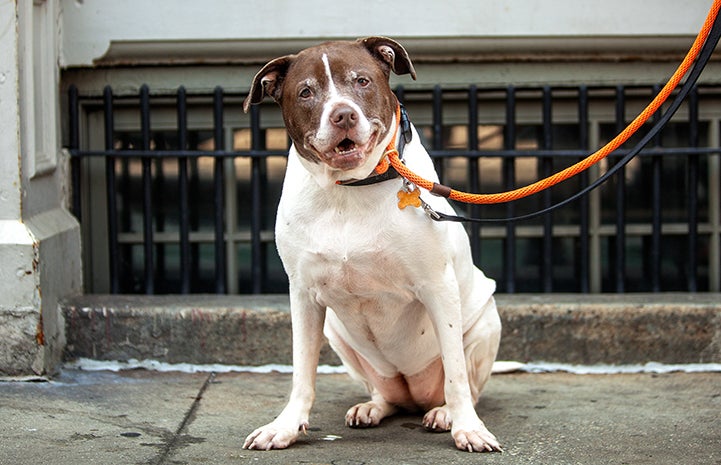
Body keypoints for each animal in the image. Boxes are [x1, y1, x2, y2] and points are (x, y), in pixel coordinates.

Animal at [242, 37, 500, 454]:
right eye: (306, 92)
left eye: (361, 80)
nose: (343, 115)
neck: (349, 189)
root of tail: (414, 394)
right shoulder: (303, 295)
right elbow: (302, 373)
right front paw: (285, 426)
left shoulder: (438, 287)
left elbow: (457, 375)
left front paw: (468, 428)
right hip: (340, 337)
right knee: (386, 394)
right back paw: (373, 407)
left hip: (485, 322)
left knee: (464, 381)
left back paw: (445, 413)